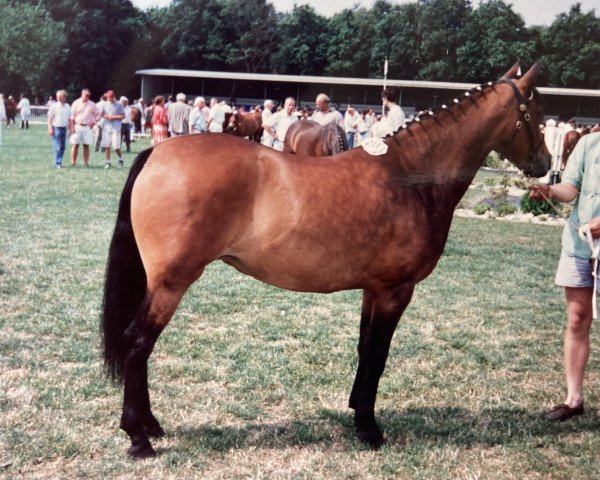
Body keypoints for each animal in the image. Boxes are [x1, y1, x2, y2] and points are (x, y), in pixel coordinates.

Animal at [102, 63, 548, 458]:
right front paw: (369, 428)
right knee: (137, 343)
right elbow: (378, 355)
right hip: (171, 284)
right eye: (535, 113)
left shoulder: (373, 290)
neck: (410, 177)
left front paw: (355, 410)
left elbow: (365, 348)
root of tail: (156, 153)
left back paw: (151, 426)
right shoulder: (395, 291)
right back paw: (139, 438)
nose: (545, 165)